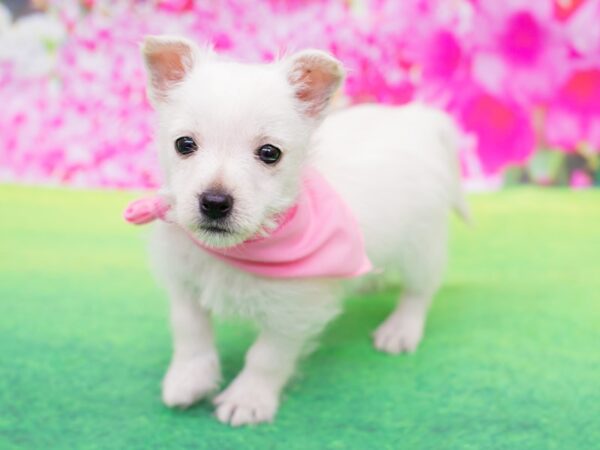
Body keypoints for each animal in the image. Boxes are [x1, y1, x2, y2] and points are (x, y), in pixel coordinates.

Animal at [141, 34, 468, 426]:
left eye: (270, 153)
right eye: (184, 144)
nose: (215, 202)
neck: (239, 249)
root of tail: (419, 119)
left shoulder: (293, 312)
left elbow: (266, 357)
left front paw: (248, 398)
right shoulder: (184, 283)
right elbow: (190, 332)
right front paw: (189, 379)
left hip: (422, 246)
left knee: (419, 292)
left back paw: (400, 329)